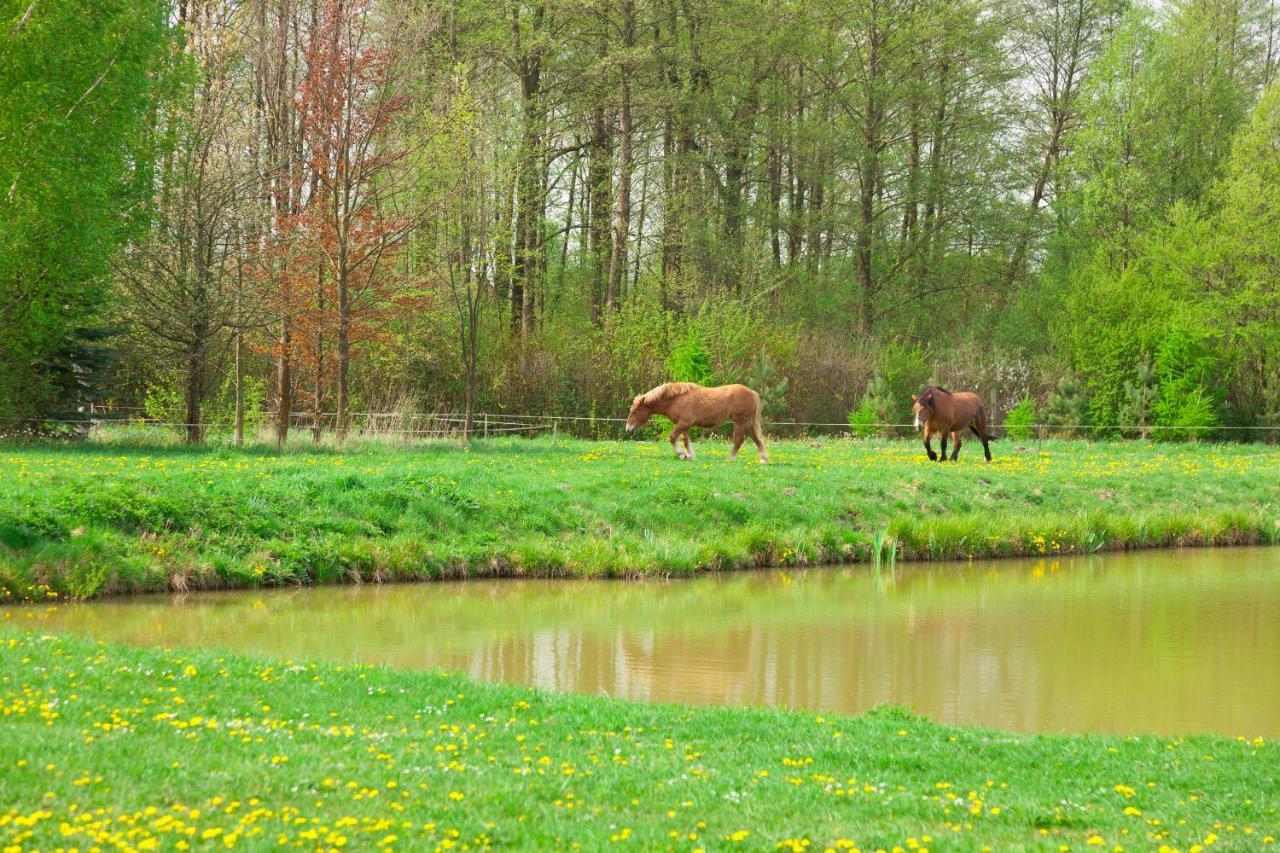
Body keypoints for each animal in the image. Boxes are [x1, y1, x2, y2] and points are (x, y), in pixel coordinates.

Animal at [622, 379, 762, 461]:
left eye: (634, 411)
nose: (628, 429)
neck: (676, 399)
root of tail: (752, 392)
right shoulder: (683, 425)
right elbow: (685, 440)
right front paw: (690, 455)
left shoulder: (684, 423)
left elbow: (672, 437)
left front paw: (681, 454)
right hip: (747, 422)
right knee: (757, 439)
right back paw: (763, 459)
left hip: (740, 422)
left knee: (739, 440)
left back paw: (730, 458)